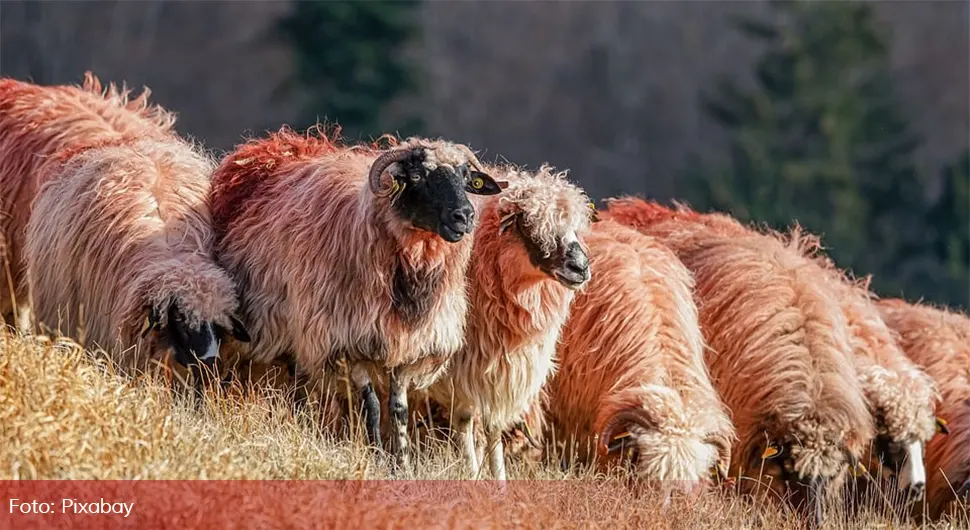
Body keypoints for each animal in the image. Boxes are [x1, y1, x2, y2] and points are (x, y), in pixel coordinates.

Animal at [422, 165, 592, 478]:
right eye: (527, 225)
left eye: (575, 226)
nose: (581, 268)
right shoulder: (460, 367)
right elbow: (466, 419)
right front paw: (473, 473)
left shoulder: (499, 367)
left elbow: (492, 426)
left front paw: (499, 478)